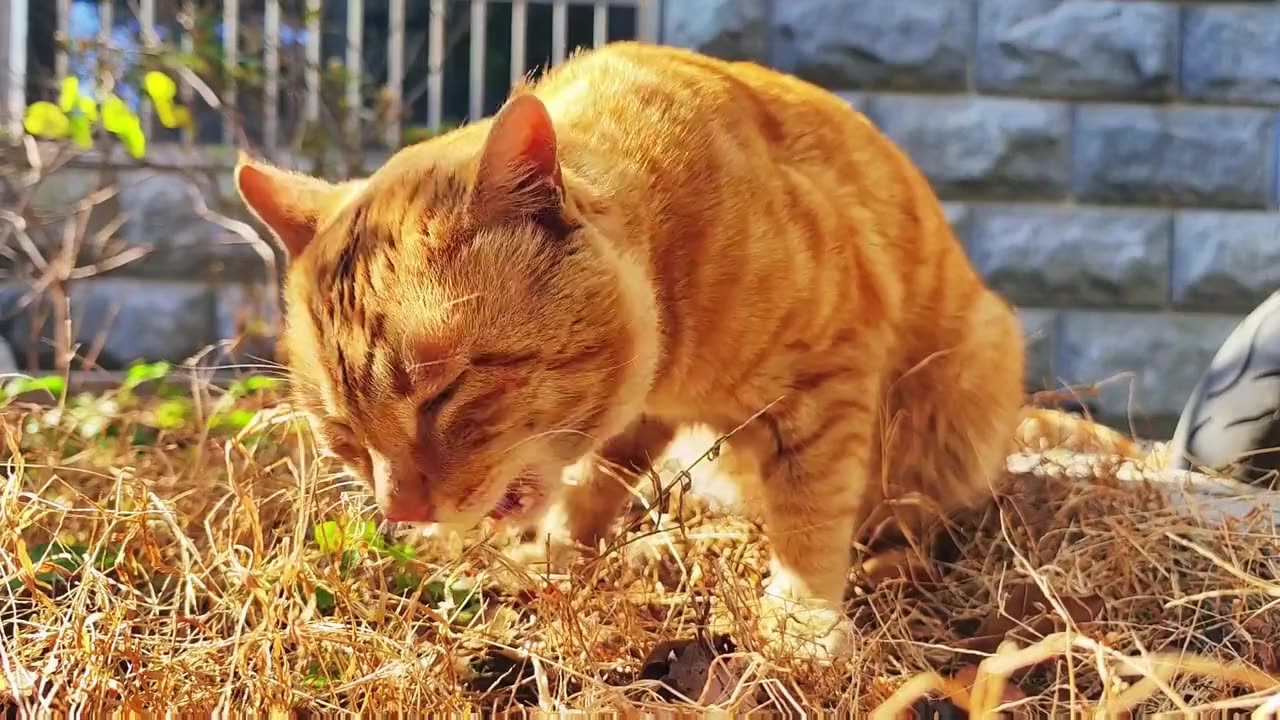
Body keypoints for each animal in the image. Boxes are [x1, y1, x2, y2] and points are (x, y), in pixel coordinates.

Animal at [235, 40, 1024, 655]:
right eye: (342, 434)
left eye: (444, 394)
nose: (403, 512)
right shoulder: (639, 420)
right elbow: (591, 487)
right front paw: (552, 556)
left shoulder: (827, 379)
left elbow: (812, 510)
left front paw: (803, 619)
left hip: (962, 395)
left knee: (910, 512)